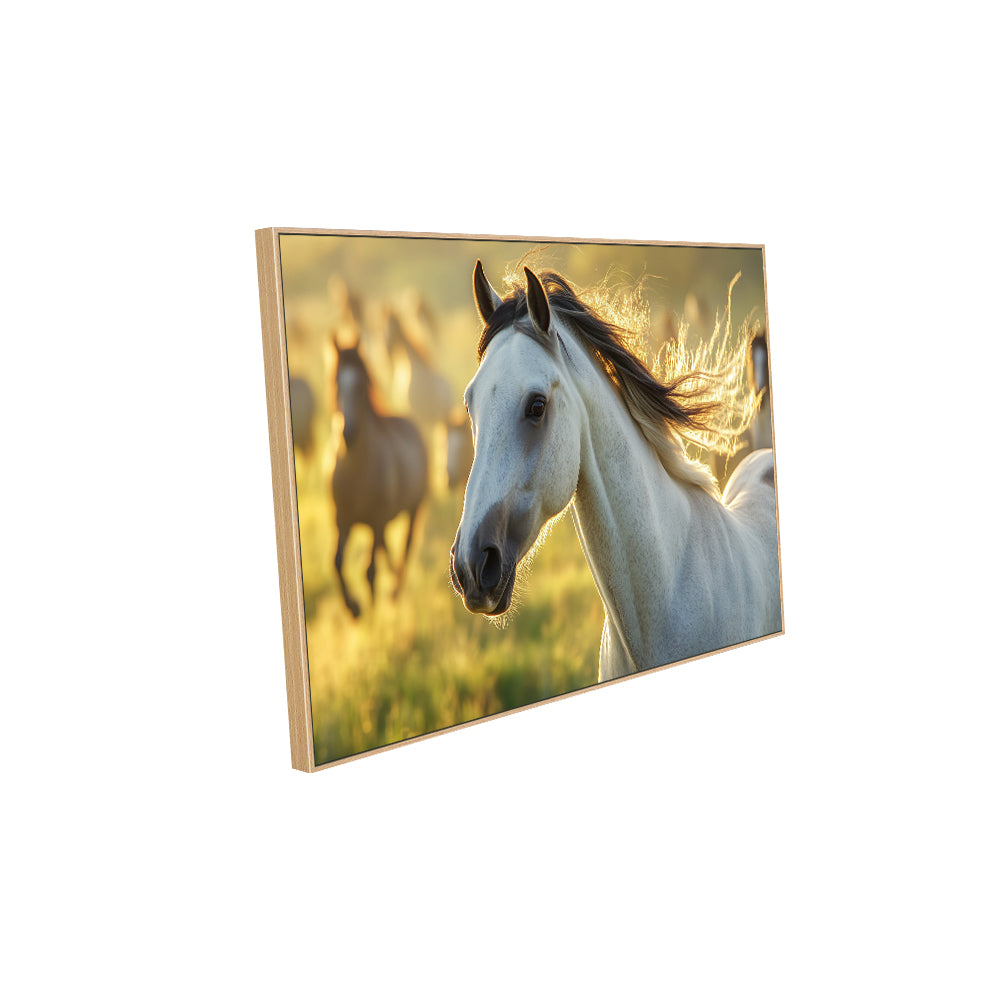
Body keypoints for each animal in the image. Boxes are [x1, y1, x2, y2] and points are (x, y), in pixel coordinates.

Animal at [331, 345, 428, 617]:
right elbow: (338, 562)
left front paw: (370, 613)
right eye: (336, 382)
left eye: (361, 385)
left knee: (404, 551)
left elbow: (369, 570)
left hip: (411, 512)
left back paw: (394, 594)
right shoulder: (342, 520)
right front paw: (353, 608)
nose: (347, 433)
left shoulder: (375, 522)